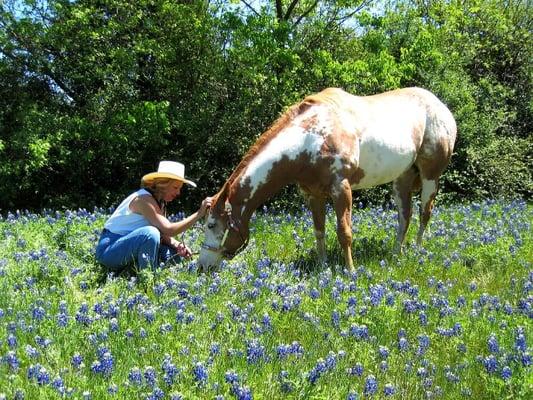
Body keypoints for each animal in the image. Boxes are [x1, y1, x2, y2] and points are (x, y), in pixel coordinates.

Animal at [197, 86, 456, 268]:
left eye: (211, 224)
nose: (201, 266)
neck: (310, 139)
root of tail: (442, 108)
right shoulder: (314, 194)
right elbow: (319, 230)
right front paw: (322, 267)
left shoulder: (341, 189)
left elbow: (344, 233)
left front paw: (350, 271)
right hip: (402, 179)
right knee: (405, 217)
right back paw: (395, 254)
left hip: (430, 177)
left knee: (425, 214)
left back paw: (418, 251)